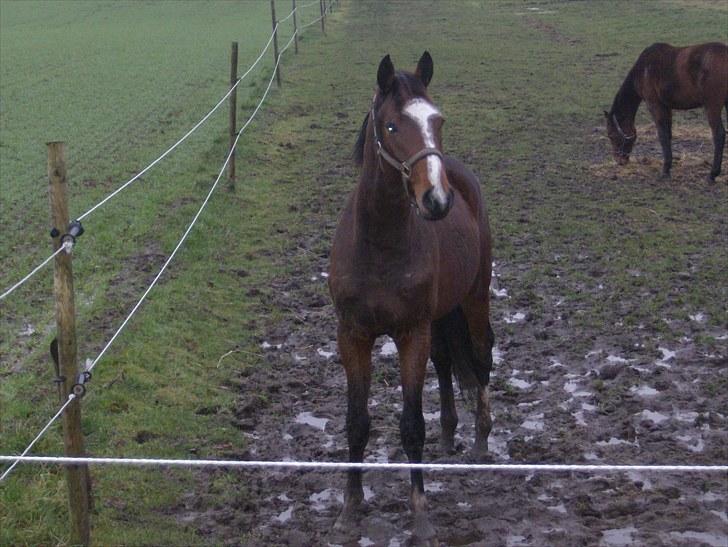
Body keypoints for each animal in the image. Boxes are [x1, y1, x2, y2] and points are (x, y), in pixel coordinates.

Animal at [330, 50, 494, 544]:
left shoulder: (410, 333)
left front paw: (421, 516)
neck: (380, 245)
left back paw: (481, 440)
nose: (435, 199)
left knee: (480, 357)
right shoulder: (353, 335)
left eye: (438, 121)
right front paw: (350, 508)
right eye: (390, 126)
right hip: (442, 314)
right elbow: (357, 423)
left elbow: (410, 425)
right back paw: (449, 435)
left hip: (475, 298)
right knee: (445, 360)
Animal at [604, 41, 728, 182]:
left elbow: (662, 135)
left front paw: (665, 170)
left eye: (611, 135)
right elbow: (668, 134)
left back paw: (712, 174)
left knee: (719, 135)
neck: (644, 69)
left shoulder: (655, 105)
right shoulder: (666, 107)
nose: (619, 160)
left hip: (712, 106)